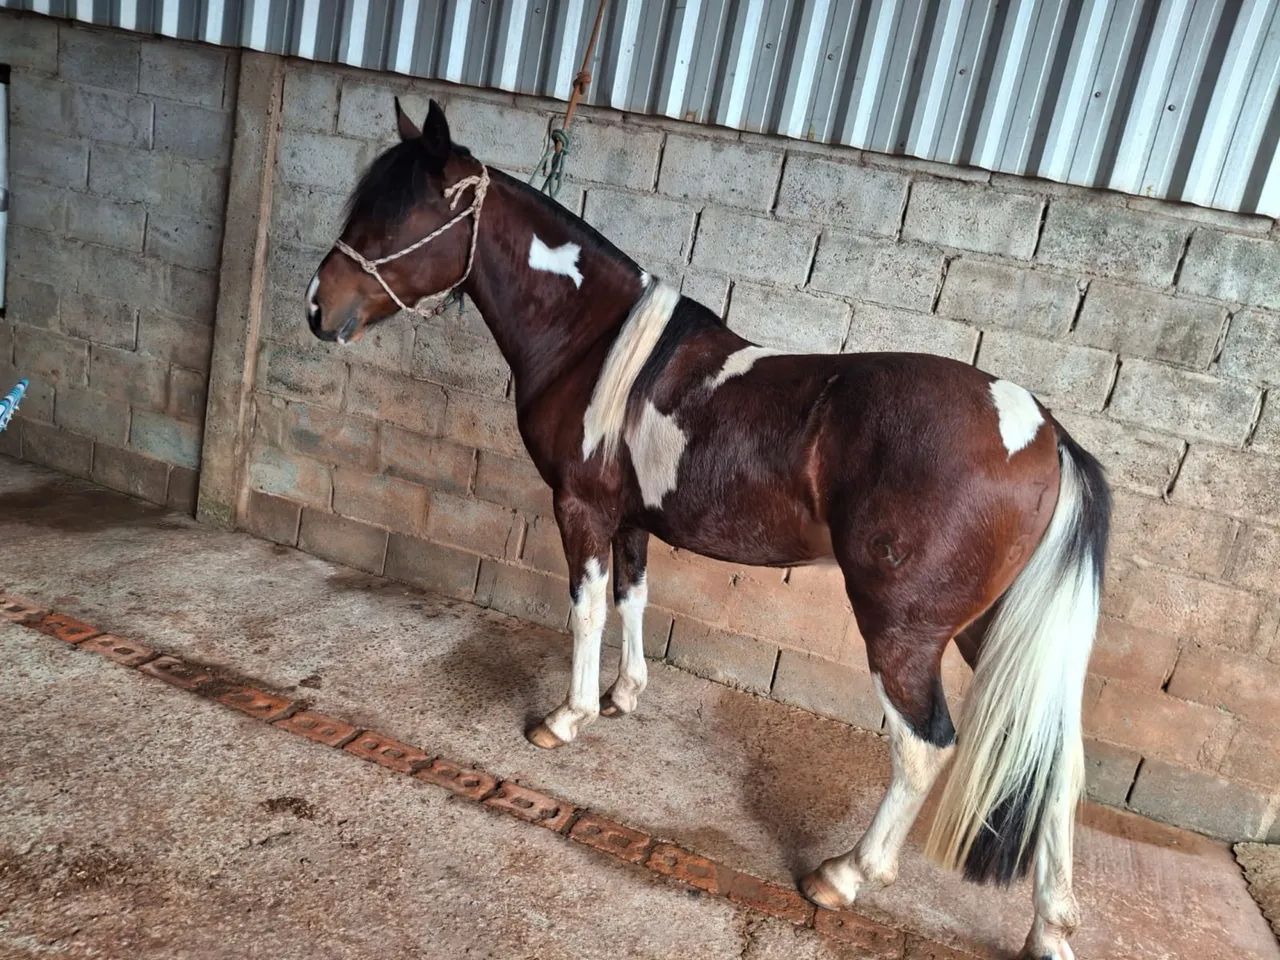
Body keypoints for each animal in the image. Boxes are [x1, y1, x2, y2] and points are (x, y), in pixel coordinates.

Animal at [305, 99, 1110, 960]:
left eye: (399, 218)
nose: (319, 309)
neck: (596, 346)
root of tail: (1045, 432)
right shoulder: (629, 518)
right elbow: (632, 599)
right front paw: (623, 696)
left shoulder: (581, 508)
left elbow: (586, 610)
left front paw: (566, 718)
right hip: (990, 628)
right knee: (1060, 763)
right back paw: (1051, 927)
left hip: (905, 630)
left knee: (925, 748)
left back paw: (845, 875)